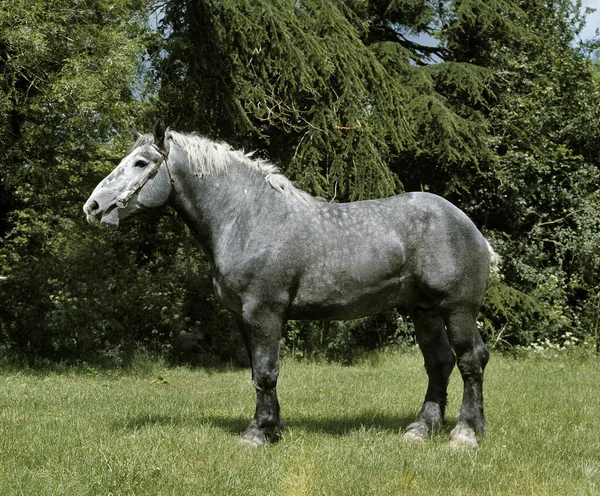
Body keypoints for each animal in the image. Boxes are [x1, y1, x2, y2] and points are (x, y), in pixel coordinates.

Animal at [85, 120, 496, 450]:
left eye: (141, 163)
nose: (93, 206)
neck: (247, 217)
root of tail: (470, 226)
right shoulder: (243, 317)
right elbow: (257, 374)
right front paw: (271, 428)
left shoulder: (264, 311)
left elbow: (267, 372)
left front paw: (258, 435)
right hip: (423, 310)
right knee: (439, 363)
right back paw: (421, 429)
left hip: (456, 309)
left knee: (470, 360)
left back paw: (465, 434)